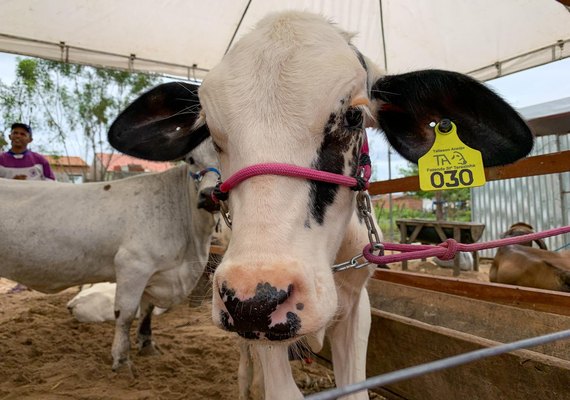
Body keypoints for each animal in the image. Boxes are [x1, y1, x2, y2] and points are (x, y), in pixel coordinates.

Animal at [0, 140, 219, 372]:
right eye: (191, 159)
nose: (209, 195)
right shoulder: (132, 265)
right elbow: (126, 315)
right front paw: (121, 361)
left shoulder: (154, 273)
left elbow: (147, 309)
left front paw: (147, 347)